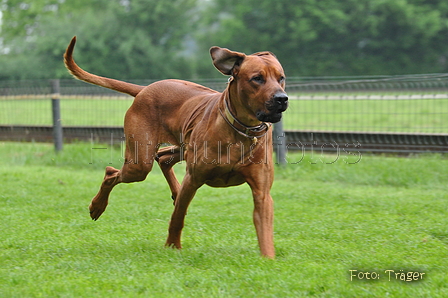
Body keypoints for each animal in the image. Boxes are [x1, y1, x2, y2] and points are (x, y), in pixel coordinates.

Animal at [63, 35, 288, 258]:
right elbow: (178, 217)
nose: (282, 99)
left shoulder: (262, 193)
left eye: (281, 78)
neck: (242, 128)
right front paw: (172, 245)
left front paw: (268, 259)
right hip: (140, 162)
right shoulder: (193, 179)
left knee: (162, 158)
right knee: (113, 172)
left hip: (181, 146)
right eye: (257, 78)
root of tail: (145, 89)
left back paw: (173, 190)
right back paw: (97, 206)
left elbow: (265, 229)